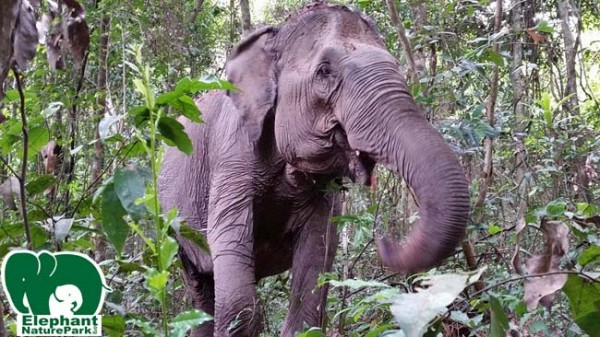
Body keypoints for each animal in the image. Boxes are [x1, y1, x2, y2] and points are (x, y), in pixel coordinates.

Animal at [158, 3, 468, 336]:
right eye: (325, 71)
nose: (385, 241)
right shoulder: (232, 156)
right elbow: (236, 284)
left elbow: (315, 261)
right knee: (201, 289)